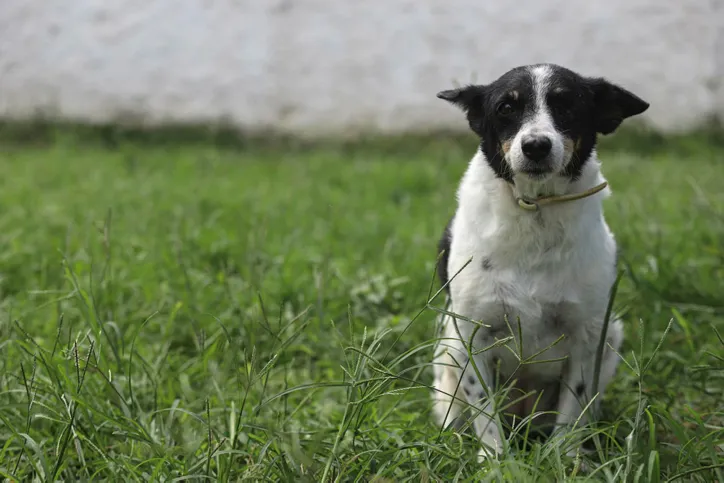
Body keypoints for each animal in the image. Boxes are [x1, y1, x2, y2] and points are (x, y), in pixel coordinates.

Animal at [430, 63, 652, 462]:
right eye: (506, 107)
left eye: (567, 105)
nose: (535, 145)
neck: (536, 210)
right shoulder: (472, 337)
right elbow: (484, 412)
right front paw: (495, 463)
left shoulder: (586, 337)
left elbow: (572, 409)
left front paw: (563, 460)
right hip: (448, 354)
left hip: (611, 335)